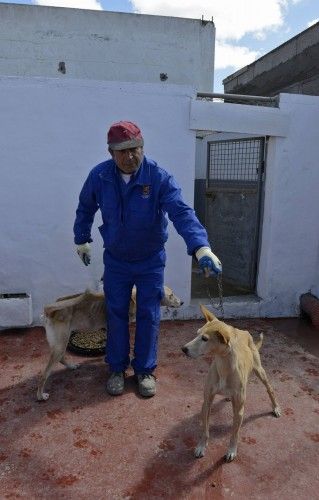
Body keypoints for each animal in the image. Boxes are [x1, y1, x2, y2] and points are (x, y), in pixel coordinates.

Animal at [37, 288, 182, 400]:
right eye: (171, 295)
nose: (182, 302)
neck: (133, 299)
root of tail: (51, 309)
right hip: (61, 344)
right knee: (45, 373)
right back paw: (40, 395)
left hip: (60, 343)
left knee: (61, 358)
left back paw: (71, 366)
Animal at [181, 306, 282, 462]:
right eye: (197, 334)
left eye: (205, 339)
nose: (183, 349)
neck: (223, 365)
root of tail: (242, 331)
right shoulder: (207, 402)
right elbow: (205, 429)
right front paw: (201, 446)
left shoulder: (239, 410)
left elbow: (235, 434)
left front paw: (232, 450)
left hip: (260, 371)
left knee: (269, 389)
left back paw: (275, 407)